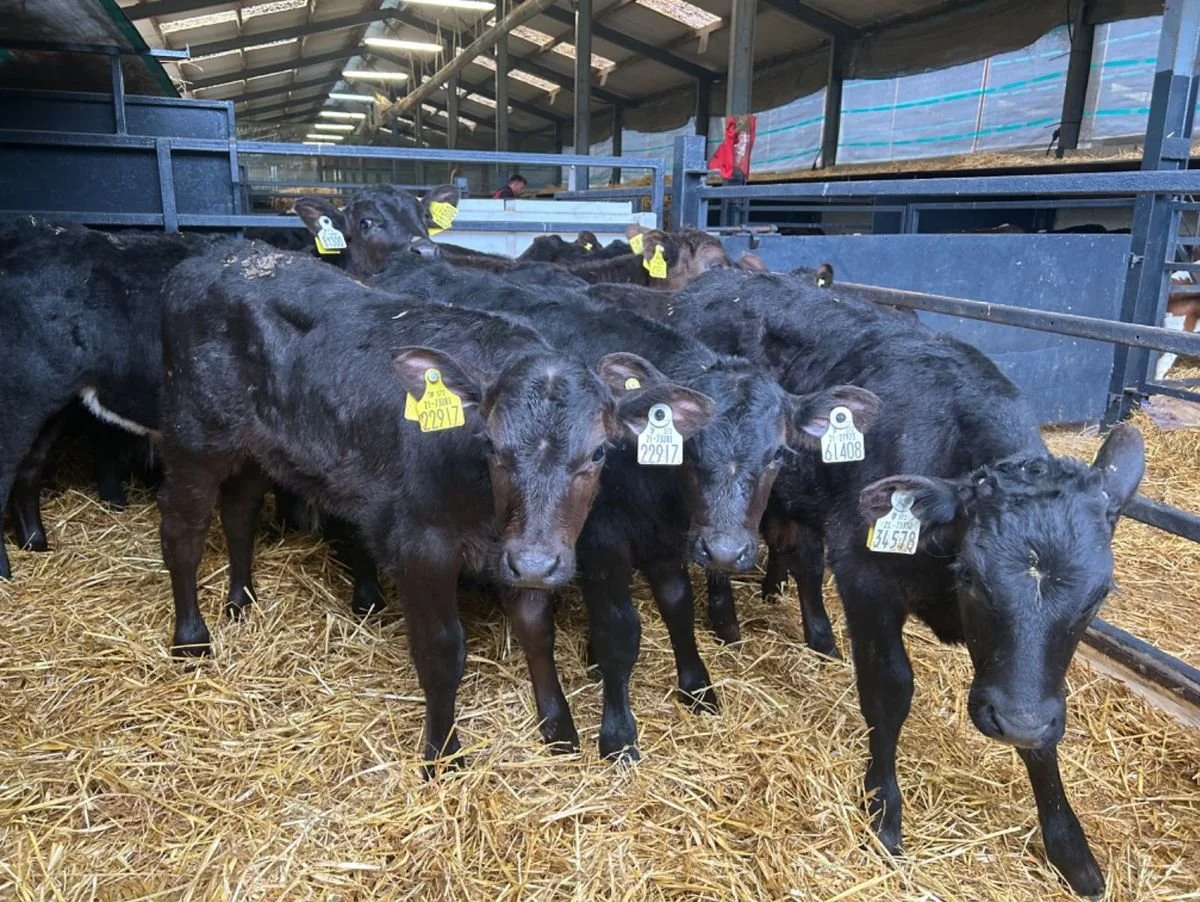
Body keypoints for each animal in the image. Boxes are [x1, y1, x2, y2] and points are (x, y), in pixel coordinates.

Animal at [158, 239, 708, 773]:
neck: (484, 507)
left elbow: (536, 629)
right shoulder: (422, 547)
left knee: (239, 512)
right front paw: (443, 753)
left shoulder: (515, 551)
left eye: (597, 453)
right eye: (490, 444)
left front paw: (558, 728)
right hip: (193, 438)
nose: (535, 561)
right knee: (183, 534)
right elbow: (442, 650)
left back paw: (241, 599)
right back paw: (191, 638)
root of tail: (217, 257)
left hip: (254, 449)